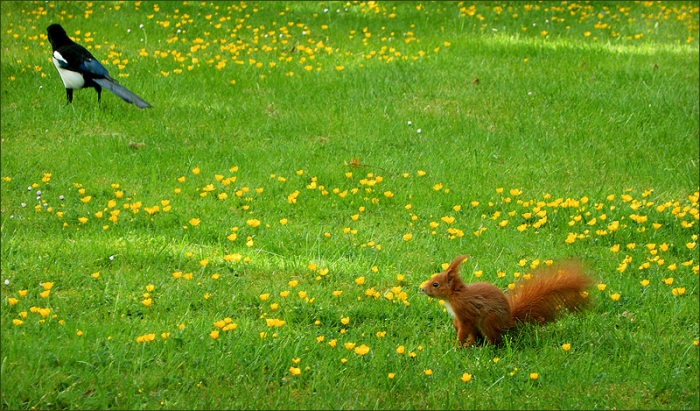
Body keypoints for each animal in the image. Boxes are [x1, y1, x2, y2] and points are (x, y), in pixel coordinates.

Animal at [421, 255, 593, 346]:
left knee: (494, 340)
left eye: (435, 284)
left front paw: (457, 344)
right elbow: (457, 324)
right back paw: (473, 345)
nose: (422, 289)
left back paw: (485, 348)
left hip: (489, 320)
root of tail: (508, 323)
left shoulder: (465, 310)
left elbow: (464, 327)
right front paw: (456, 332)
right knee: (478, 338)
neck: (453, 296)